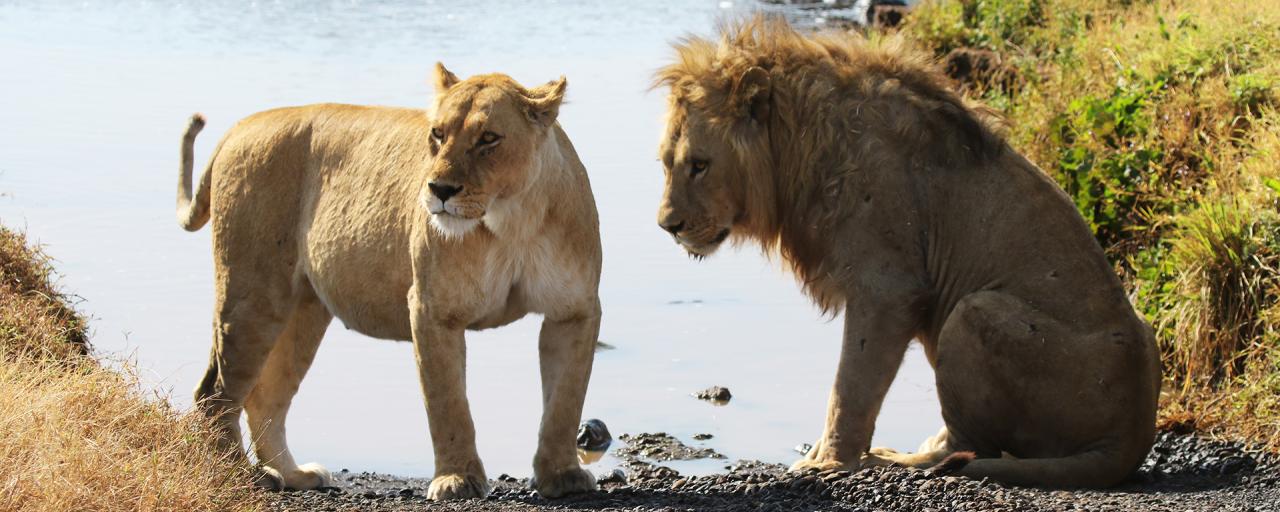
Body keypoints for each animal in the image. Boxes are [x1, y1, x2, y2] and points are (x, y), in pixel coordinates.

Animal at [174, 64, 604, 499]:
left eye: (488, 138)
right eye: (438, 134)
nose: (439, 190)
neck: (511, 219)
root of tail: (241, 126)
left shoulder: (574, 311)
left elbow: (564, 402)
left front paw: (562, 475)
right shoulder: (432, 310)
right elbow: (448, 404)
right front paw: (456, 479)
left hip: (304, 309)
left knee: (265, 395)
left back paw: (293, 474)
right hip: (252, 296)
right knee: (216, 392)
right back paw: (242, 474)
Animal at [655, 18, 1167, 486]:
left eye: (699, 165)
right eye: (665, 163)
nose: (667, 226)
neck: (798, 143)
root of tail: (1130, 437)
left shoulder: (888, 288)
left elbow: (851, 386)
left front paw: (827, 463)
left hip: (972, 310)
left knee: (968, 447)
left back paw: (895, 460)